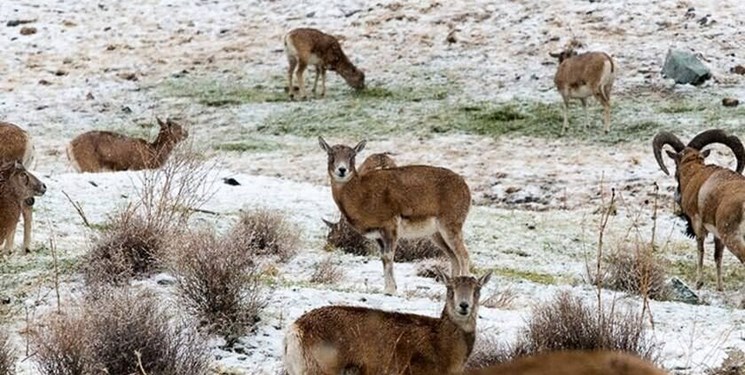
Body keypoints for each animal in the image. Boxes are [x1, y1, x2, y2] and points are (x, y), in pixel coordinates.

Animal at [316, 137, 468, 296]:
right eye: (330, 154)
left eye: (352, 155)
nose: (342, 170)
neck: (362, 195)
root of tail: (464, 186)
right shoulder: (379, 237)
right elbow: (383, 258)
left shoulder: (390, 229)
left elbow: (388, 257)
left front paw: (390, 291)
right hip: (437, 235)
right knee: (454, 258)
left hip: (450, 229)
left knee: (463, 256)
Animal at [652, 129, 744, 290]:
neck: (694, 172)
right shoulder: (718, 235)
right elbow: (717, 256)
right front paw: (720, 288)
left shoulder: (698, 223)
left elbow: (700, 250)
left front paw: (698, 283)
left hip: (734, 237)